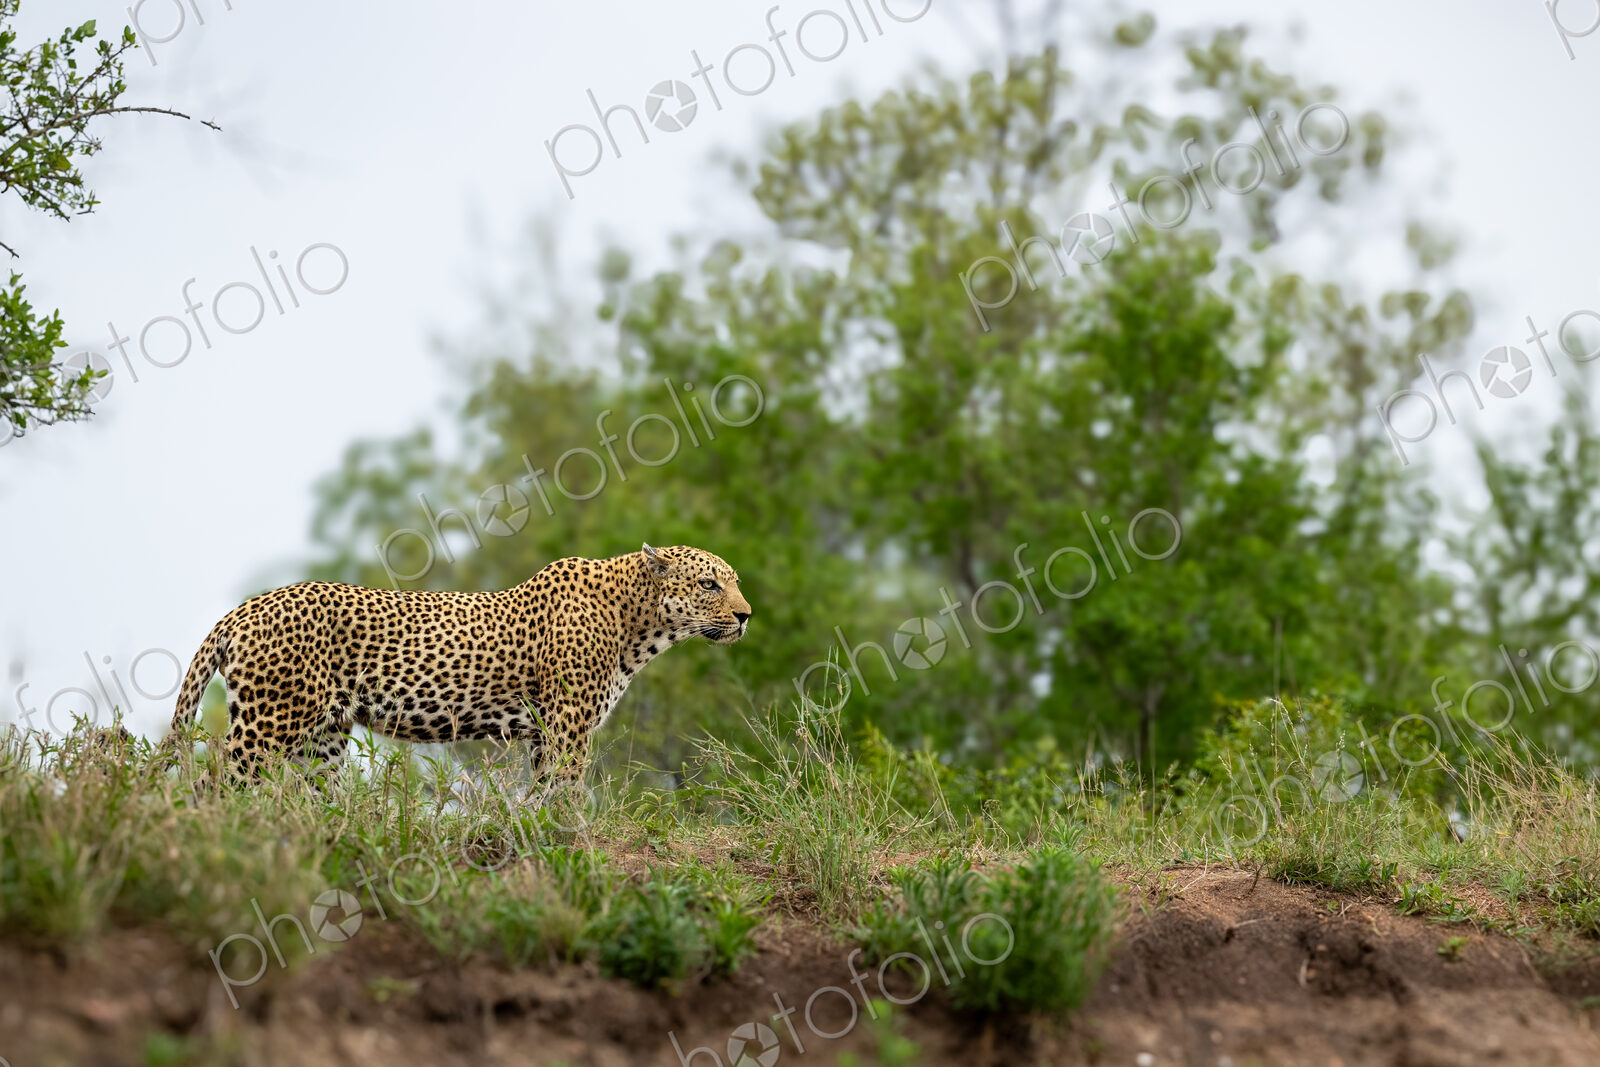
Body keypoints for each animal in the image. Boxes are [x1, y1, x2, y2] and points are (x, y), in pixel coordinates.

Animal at [165, 543, 750, 781]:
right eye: (708, 584)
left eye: (735, 581)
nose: (746, 615)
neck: (639, 622)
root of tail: (244, 607)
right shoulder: (567, 727)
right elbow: (565, 792)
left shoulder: (546, 733)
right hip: (269, 722)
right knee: (219, 782)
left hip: (323, 736)